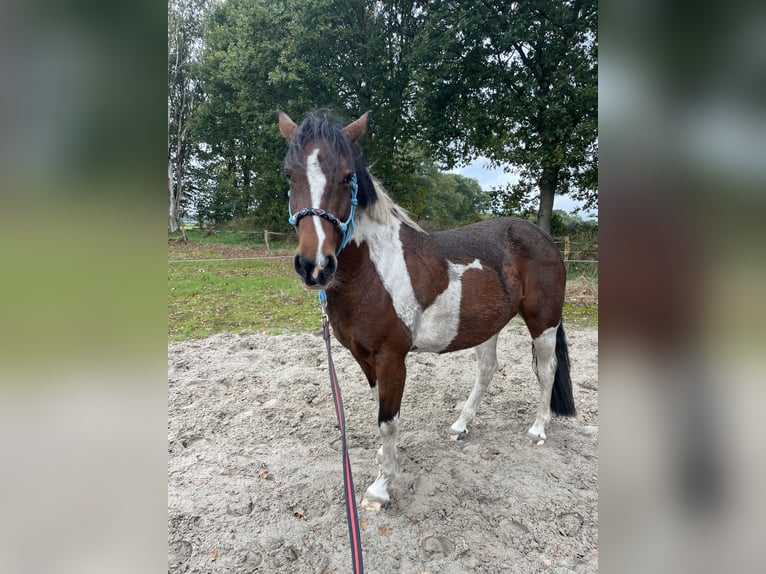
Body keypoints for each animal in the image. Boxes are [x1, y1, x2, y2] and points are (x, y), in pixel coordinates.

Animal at [278, 109, 576, 510]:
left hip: (543, 322)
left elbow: (388, 420)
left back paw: (538, 430)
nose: (315, 266)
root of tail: (543, 237)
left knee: (546, 370)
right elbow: (381, 412)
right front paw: (383, 461)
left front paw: (381, 489)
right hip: (489, 324)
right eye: (289, 174)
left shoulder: (391, 358)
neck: (374, 270)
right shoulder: (364, 357)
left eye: (346, 176)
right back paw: (461, 425)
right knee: (487, 370)